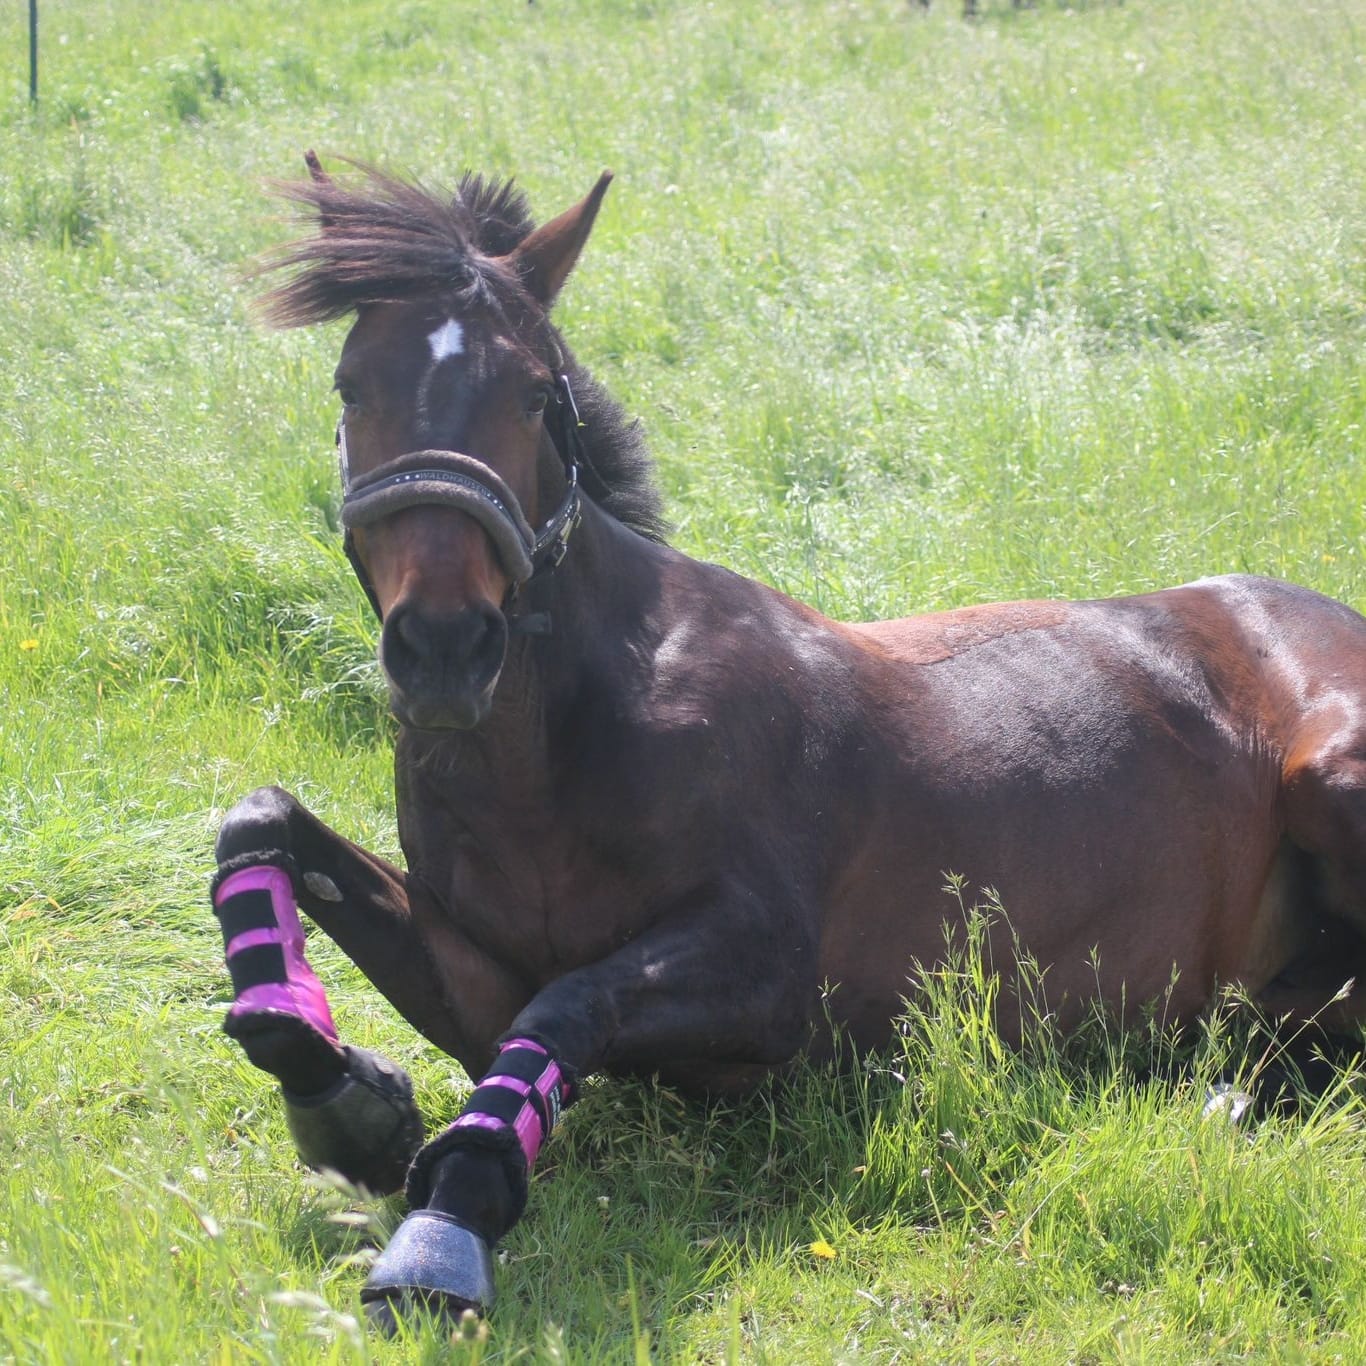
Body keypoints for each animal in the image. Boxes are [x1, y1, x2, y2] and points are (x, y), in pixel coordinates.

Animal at [211, 152, 1366, 1328]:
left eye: (534, 394)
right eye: (350, 385)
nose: (445, 646)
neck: (559, 746)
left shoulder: (766, 980)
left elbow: (571, 1002)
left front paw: (447, 1219)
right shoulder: (478, 973)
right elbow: (262, 829)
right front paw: (349, 1101)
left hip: (1329, 778)